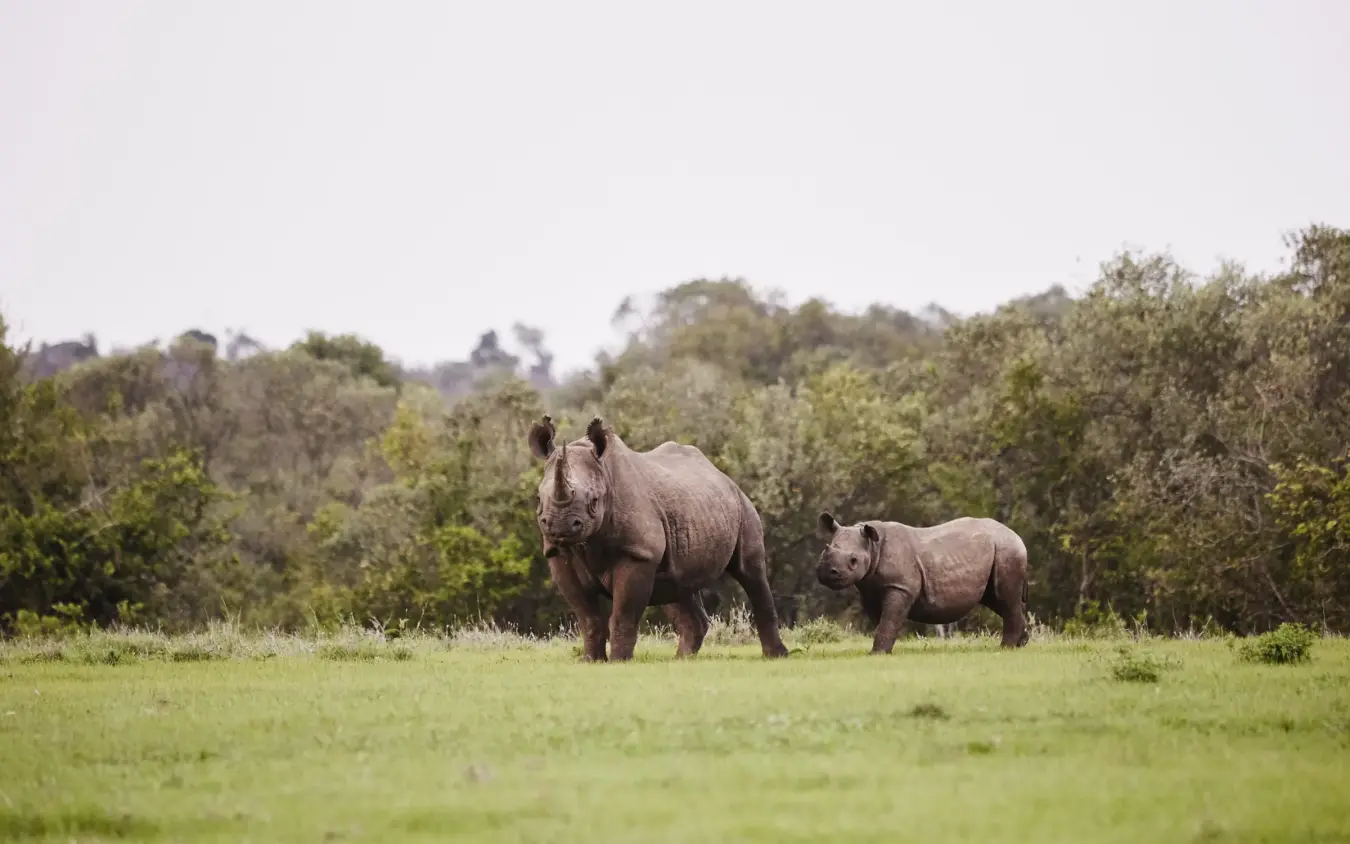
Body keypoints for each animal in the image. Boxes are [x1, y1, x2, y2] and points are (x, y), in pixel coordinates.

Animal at [528, 415, 789, 662]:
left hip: (742, 503)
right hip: (694, 506)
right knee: (677, 584)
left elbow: (623, 614)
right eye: (539, 499)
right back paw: (682, 660)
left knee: (751, 572)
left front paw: (618, 662)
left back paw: (776, 655)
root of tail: (723, 475)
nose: (559, 525)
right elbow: (588, 618)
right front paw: (591, 661)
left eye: (593, 502)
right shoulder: (558, 554)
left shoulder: (638, 553)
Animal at [815, 512, 1030, 654]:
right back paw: (1021, 644)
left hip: (1007, 550)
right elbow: (882, 620)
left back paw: (1005, 648)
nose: (826, 572)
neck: (873, 547)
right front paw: (884, 650)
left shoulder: (900, 586)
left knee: (1005, 597)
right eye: (825, 550)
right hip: (1001, 550)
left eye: (853, 561)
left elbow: (889, 619)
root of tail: (1016, 535)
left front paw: (877, 653)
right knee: (998, 600)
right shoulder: (870, 589)